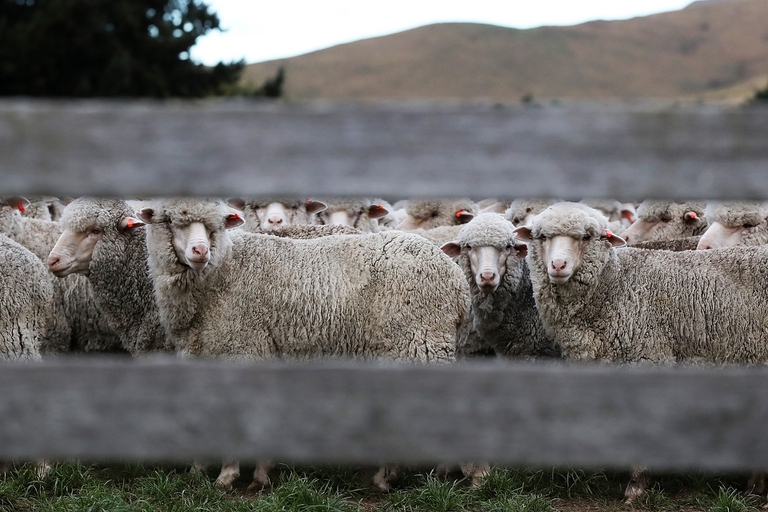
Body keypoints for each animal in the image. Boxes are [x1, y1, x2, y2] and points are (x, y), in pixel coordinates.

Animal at [512, 202, 768, 502]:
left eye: (587, 237)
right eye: (541, 237)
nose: (558, 265)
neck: (617, 286)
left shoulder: (646, 359)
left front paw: (635, 487)